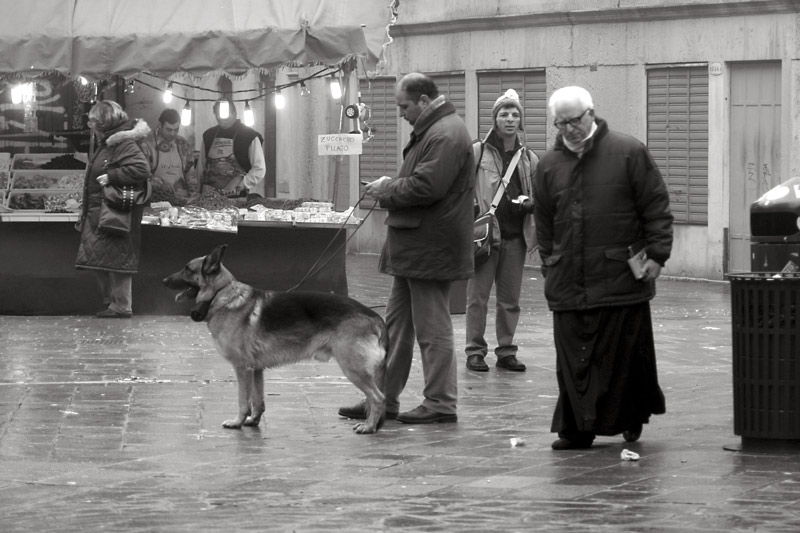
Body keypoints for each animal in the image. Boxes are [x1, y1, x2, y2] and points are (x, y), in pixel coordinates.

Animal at [162, 244, 388, 432]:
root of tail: (375, 316)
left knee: (378, 398)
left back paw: (369, 427)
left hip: (353, 369)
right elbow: (257, 401)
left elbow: (243, 400)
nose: (163, 280)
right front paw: (253, 421)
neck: (221, 293)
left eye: (187, 269)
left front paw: (237, 422)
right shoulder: (256, 370)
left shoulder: (242, 368)